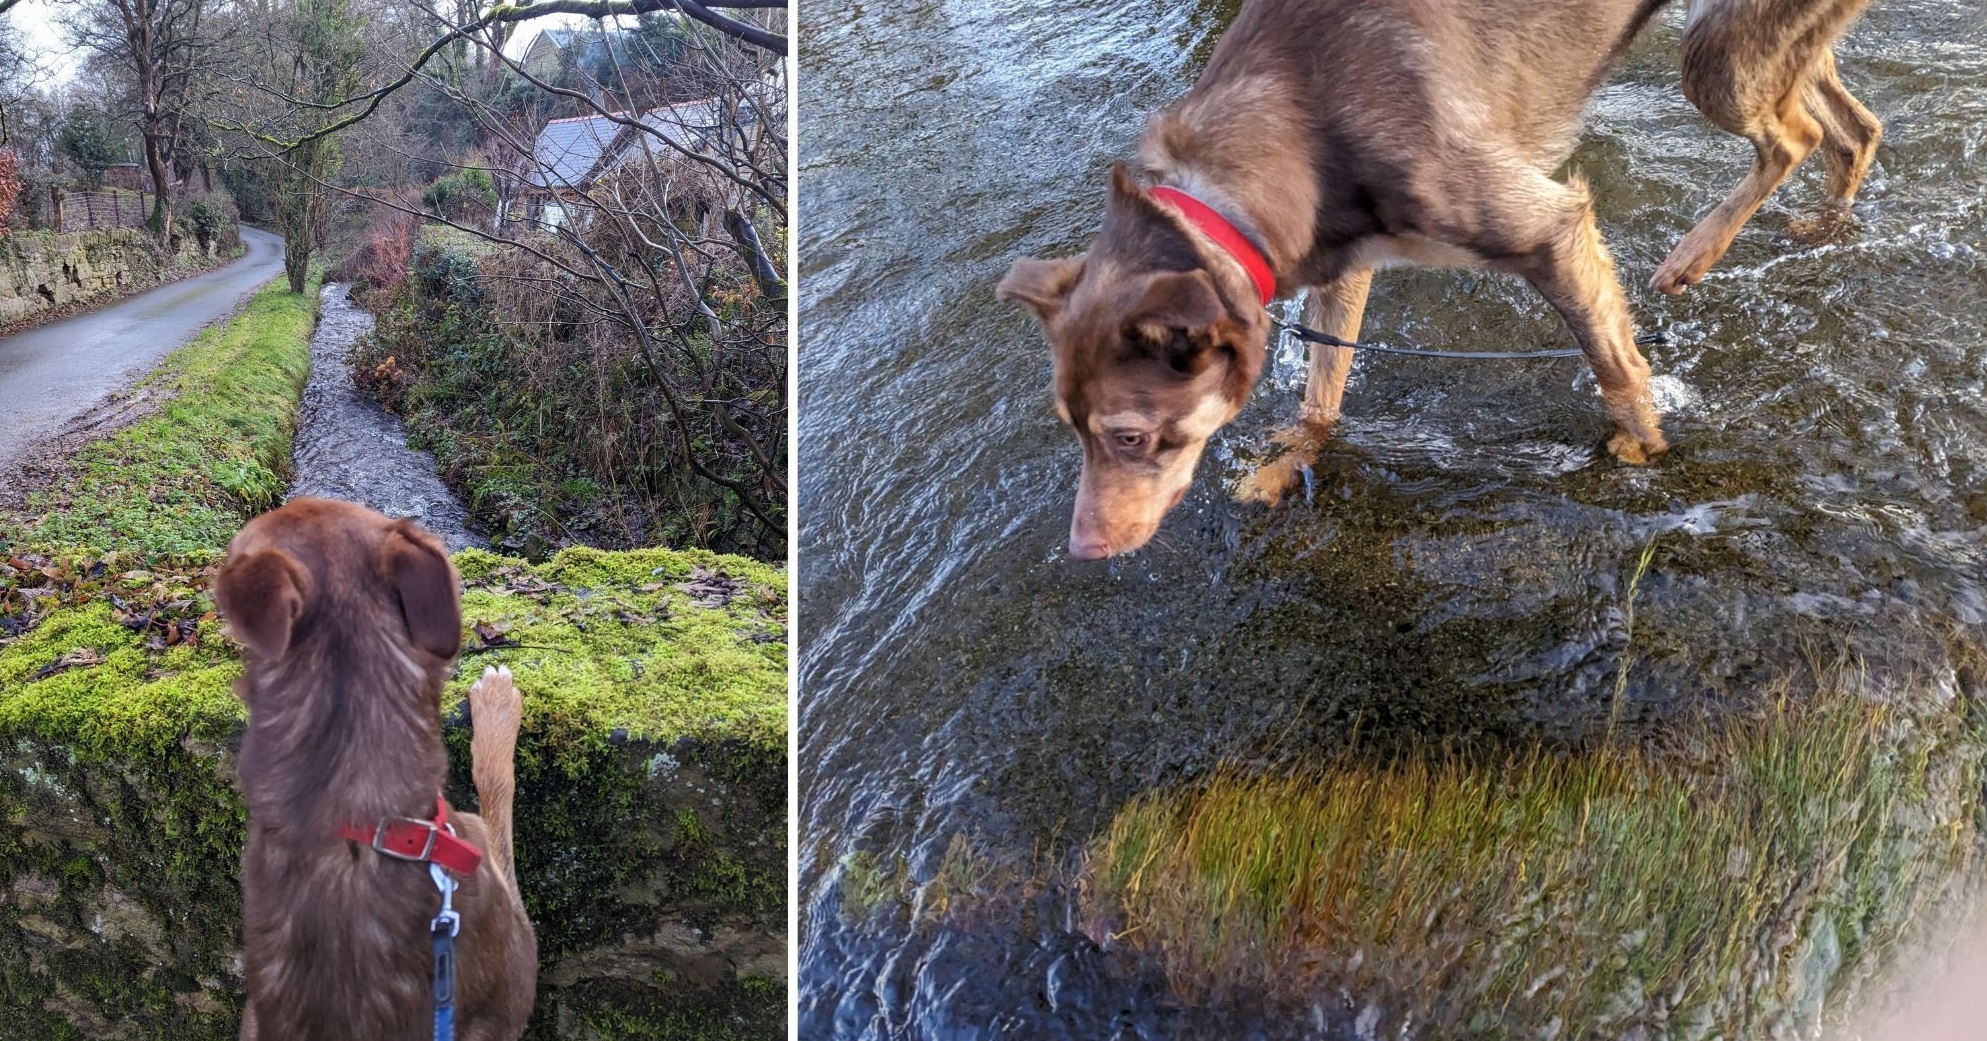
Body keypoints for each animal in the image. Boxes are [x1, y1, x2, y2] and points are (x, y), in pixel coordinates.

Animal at [1001, 0, 1883, 560]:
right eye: (1069, 429)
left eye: (1128, 437)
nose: (1082, 549)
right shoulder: (1348, 266)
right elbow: (1323, 393)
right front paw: (1289, 462)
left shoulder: (1549, 227)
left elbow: (1616, 369)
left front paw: (1649, 451)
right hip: (1769, 45)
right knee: (1854, 127)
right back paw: (1823, 222)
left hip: (1715, 56)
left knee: (1795, 138)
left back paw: (1694, 253)